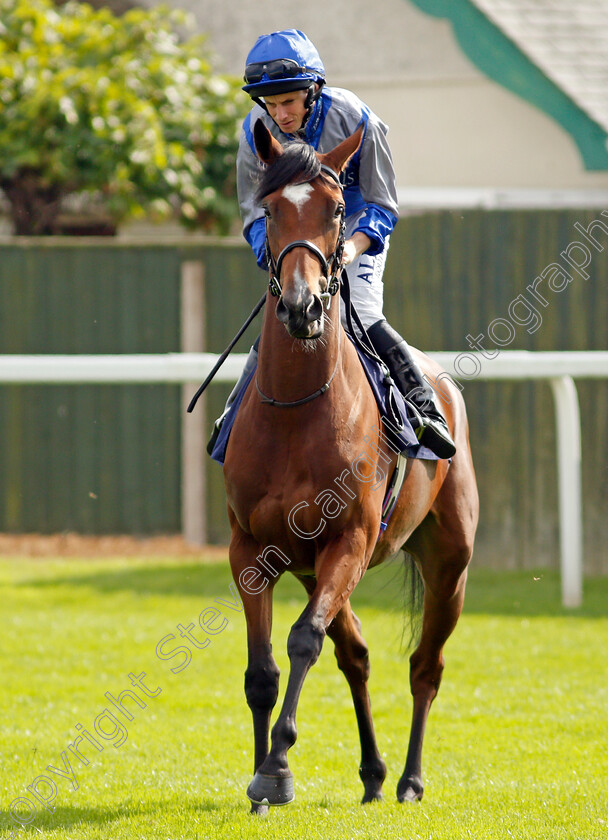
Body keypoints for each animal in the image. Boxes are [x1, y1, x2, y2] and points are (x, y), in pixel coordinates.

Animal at [223, 120, 480, 812]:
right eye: (269, 210)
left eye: (338, 209)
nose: (303, 306)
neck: (294, 413)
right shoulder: (252, 548)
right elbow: (262, 670)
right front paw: (259, 782)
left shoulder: (351, 538)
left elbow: (303, 640)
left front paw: (276, 769)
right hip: (311, 566)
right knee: (357, 654)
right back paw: (372, 773)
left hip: (448, 562)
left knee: (425, 666)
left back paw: (411, 779)